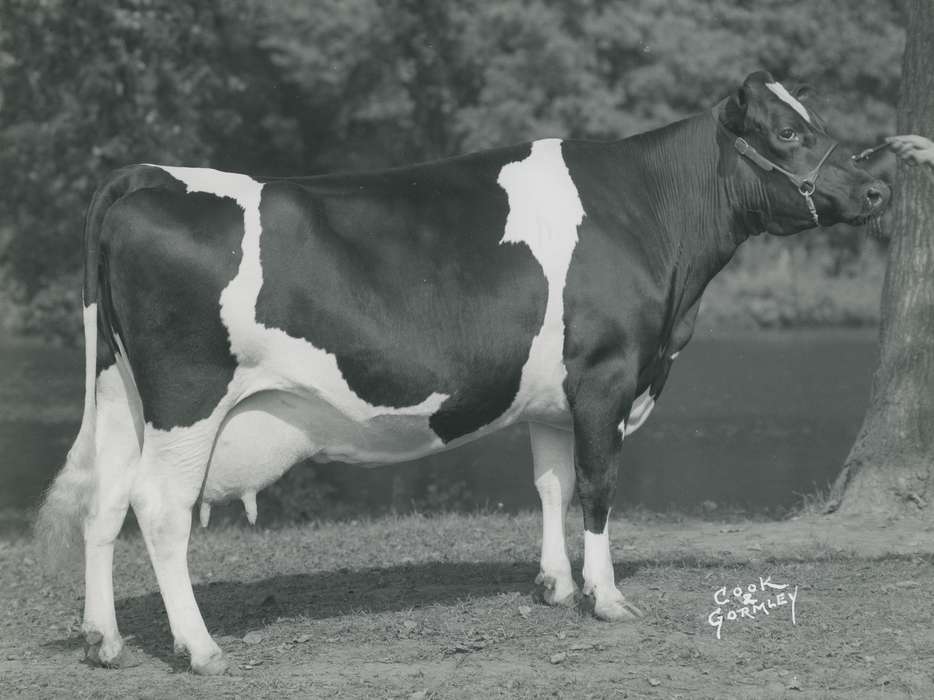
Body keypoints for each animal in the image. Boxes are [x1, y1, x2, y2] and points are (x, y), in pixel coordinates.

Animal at [37, 71, 889, 674]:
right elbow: (597, 486)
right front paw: (607, 598)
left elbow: (549, 484)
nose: (877, 187)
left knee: (105, 502)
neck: (650, 218)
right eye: (788, 131)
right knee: (159, 508)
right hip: (187, 397)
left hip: (121, 393)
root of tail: (151, 174)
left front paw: (555, 585)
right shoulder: (606, 374)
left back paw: (103, 641)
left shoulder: (552, 398)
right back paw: (200, 649)